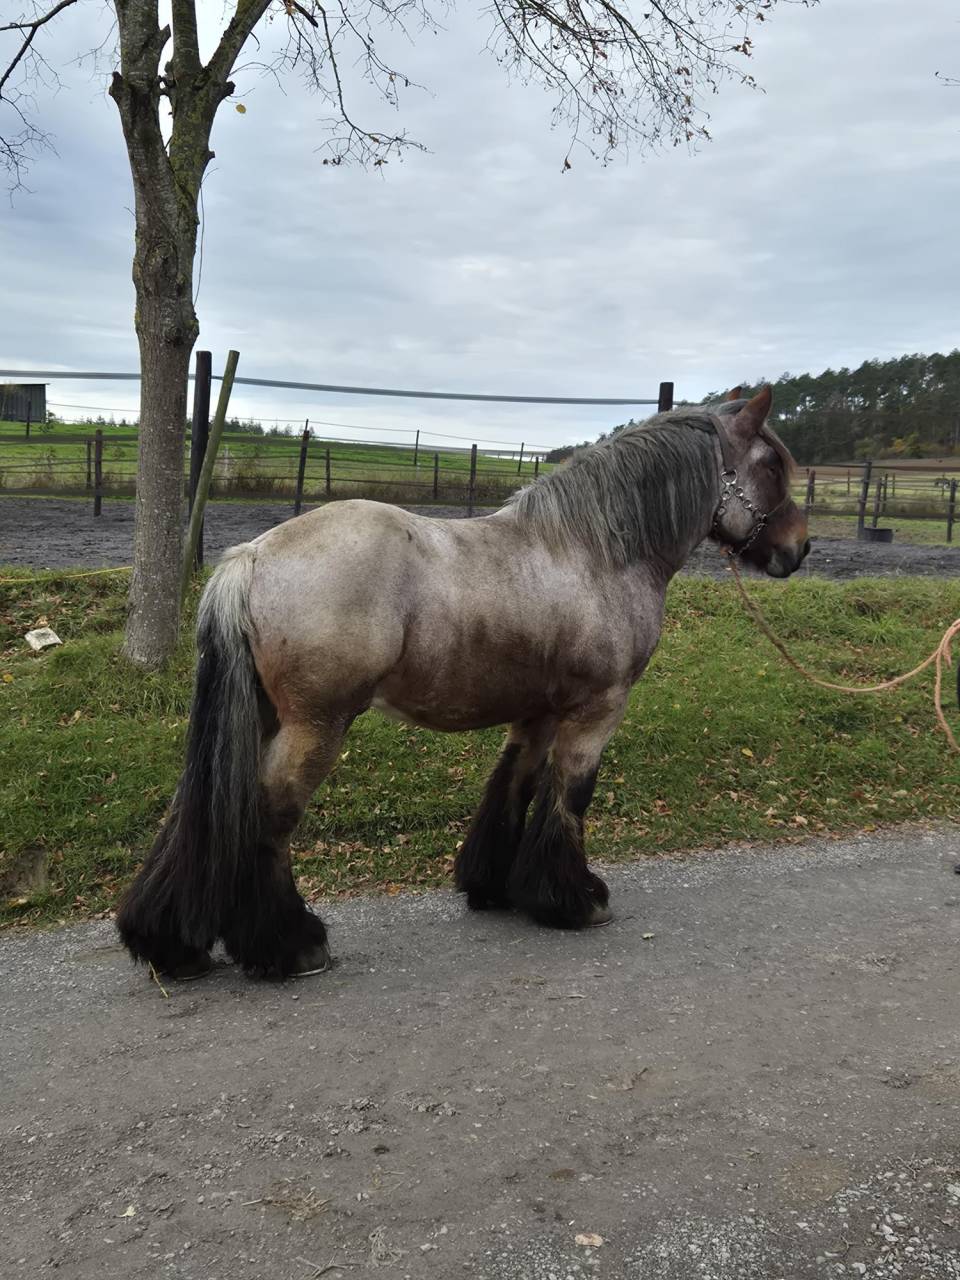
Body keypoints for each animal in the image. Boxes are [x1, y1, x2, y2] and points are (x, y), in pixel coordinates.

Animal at [117, 385, 809, 981]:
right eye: (772, 466)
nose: (798, 549)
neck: (596, 550)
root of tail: (250, 557)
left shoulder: (538, 712)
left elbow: (513, 784)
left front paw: (496, 887)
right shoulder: (597, 710)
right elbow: (571, 794)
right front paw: (575, 899)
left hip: (256, 720)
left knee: (196, 808)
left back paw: (169, 944)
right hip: (315, 727)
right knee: (268, 817)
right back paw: (290, 945)